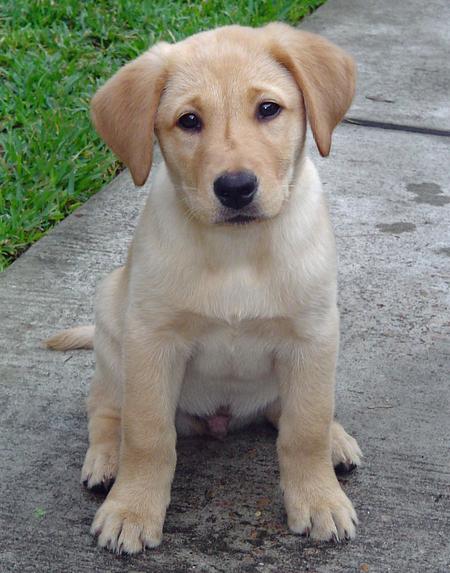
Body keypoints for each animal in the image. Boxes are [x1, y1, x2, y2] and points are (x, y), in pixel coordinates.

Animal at [46, 22, 361, 554]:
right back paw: (106, 460)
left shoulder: (312, 336)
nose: (235, 188)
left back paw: (337, 440)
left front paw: (319, 499)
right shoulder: (152, 342)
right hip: (112, 323)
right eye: (189, 121)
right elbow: (148, 436)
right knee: (105, 408)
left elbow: (305, 429)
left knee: (292, 412)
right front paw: (132, 510)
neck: (237, 251)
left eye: (268, 109)